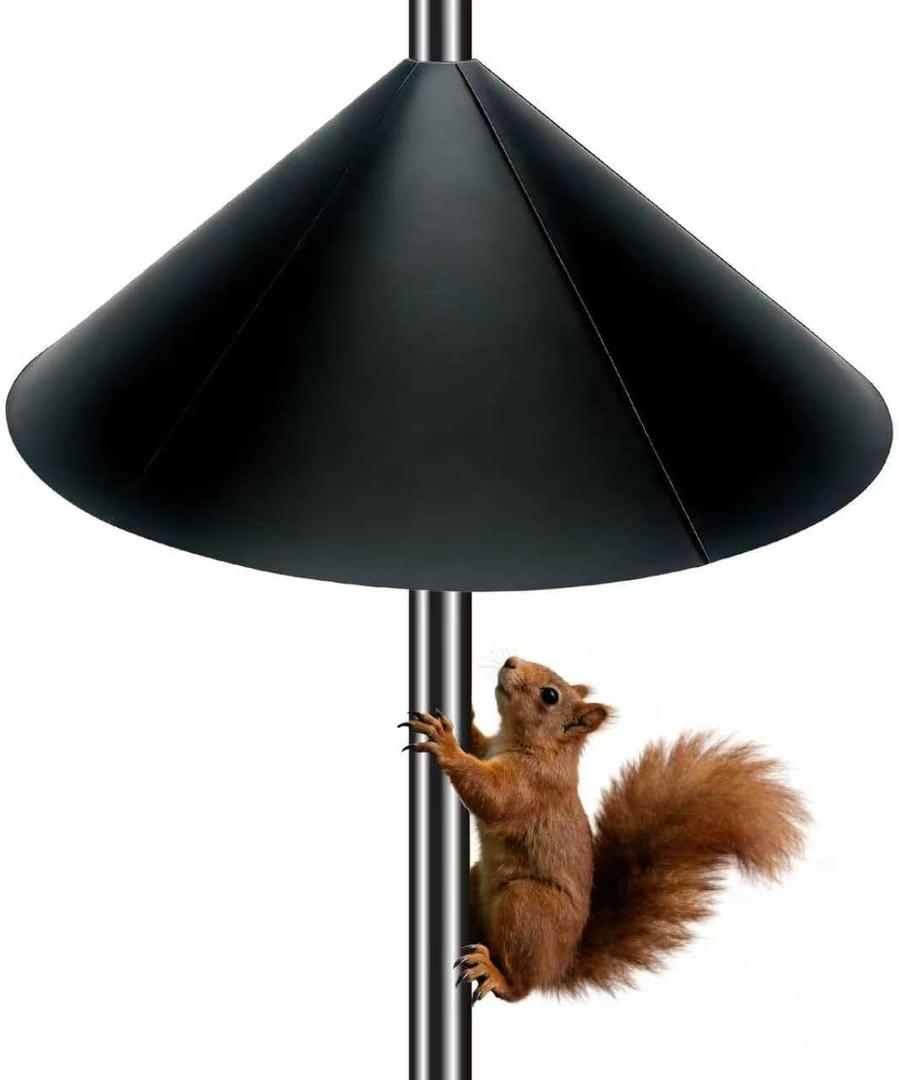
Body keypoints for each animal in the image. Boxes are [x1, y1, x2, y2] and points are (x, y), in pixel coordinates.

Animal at [402, 656, 808, 1004]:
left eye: (550, 696)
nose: (511, 660)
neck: (536, 744)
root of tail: (559, 965)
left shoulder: (532, 786)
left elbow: (492, 796)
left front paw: (446, 744)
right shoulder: (490, 750)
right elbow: (478, 746)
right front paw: (466, 718)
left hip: (529, 906)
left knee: (521, 988)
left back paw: (497, 973)